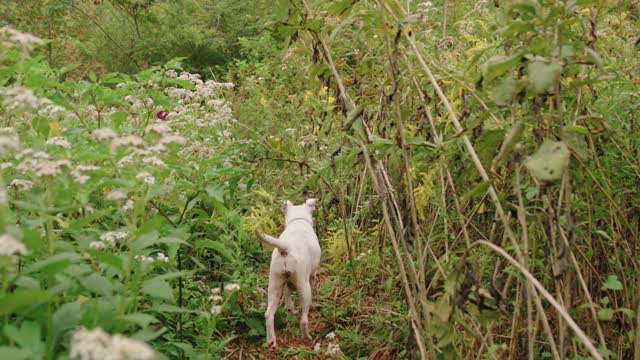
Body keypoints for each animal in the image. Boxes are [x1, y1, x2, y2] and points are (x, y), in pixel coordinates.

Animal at [256, 198, 320, 350]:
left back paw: (271, 341)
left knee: (268, 314)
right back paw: (306, 337)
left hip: (274, 285)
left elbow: (288, 296)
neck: (298, 220)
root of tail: (285, 248)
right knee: (303, 320)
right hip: (303, 286)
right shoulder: (312, 275)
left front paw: (289, 309)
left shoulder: (286, 283)